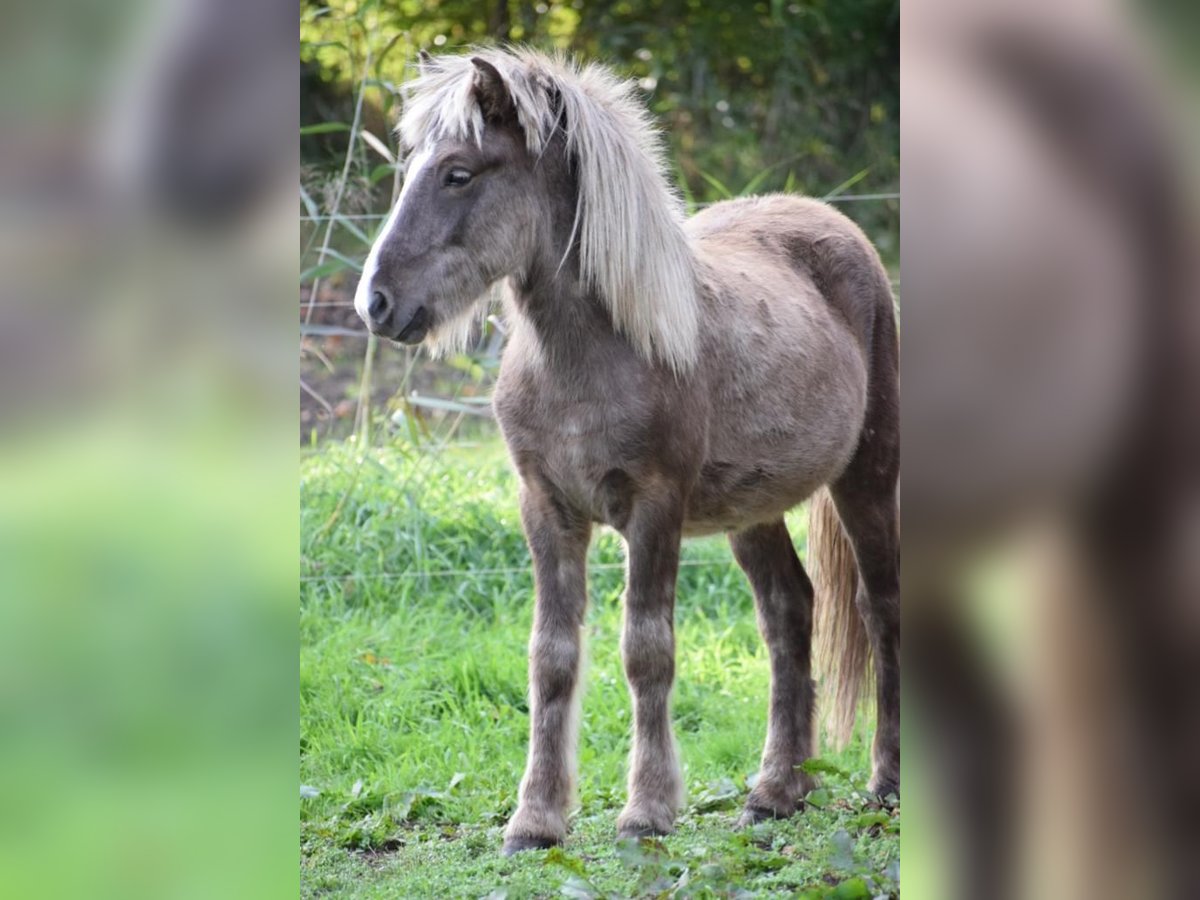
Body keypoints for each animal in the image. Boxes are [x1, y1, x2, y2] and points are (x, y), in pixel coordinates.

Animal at [350, 45, 897, 854]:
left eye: (459, 173)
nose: (376, 303)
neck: (589, 357)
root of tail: (834, 222)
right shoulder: (546, 509)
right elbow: (551, 658)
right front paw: (535, 820)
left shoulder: (654, 507)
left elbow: (646, 651)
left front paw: (646, 811)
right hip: (751, 511)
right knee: (789, 611)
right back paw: (776, 793)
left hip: (867, 478)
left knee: (880, 606)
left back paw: (885, 784)